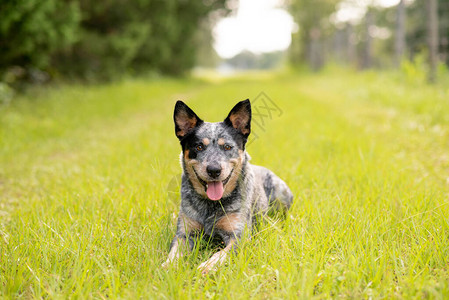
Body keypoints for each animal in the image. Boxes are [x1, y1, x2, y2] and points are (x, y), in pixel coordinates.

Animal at [163, 99, 292, 274]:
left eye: (227, 147)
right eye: (198, 147)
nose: (214, 170)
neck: (210, 206)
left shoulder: (238, 236)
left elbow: (221, 254)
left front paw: (208, 266)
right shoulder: (185, 233)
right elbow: (174, 252)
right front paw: (168, 266)